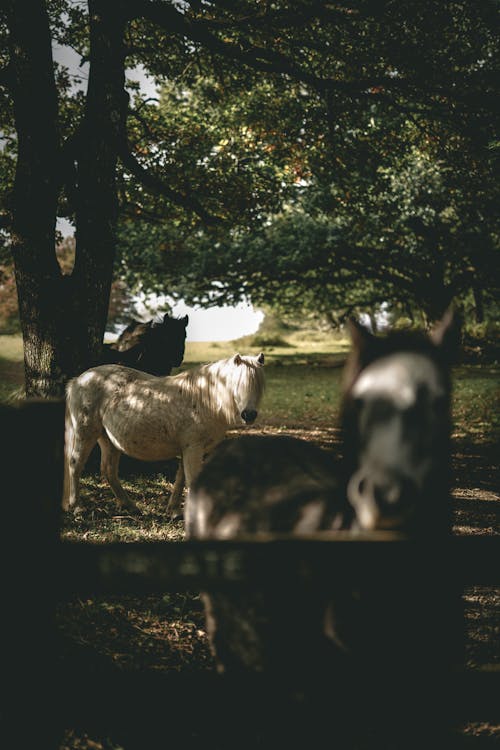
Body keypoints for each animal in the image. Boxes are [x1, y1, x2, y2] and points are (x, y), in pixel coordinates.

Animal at [63, 352, 266, 516]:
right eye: (238, 384)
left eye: (258, 385)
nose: (249, 415)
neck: (204, 399)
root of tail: (78, 380)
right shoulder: (193, 448)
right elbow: (192, 480)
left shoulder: (187, 449)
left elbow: (181, 479)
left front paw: (174, 511)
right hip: (85, 433)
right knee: (75, 464)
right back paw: (77, 506)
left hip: (108, 439)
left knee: (109, 470)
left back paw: (130, 506)